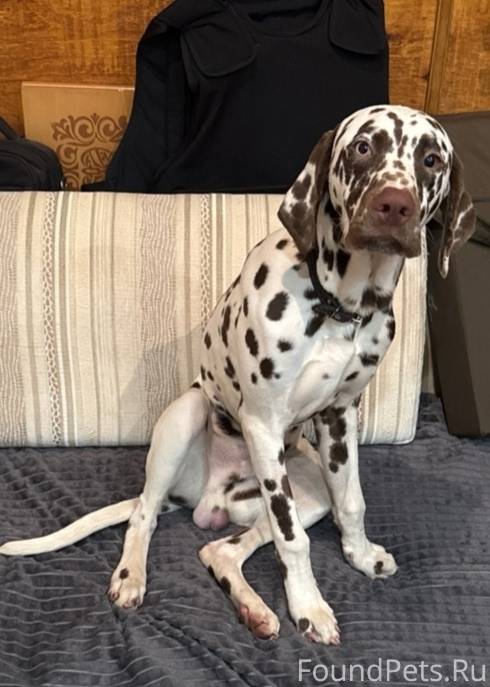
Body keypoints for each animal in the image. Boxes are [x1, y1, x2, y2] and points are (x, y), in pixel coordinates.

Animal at [0, 105, 475, 646]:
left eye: (432, 159)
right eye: (362, 148)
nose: (394, 205)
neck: (340, 307)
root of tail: (204, 497)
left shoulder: (339, 419)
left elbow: (351, 501)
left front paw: (359, 554)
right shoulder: (264, 425)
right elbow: (294, 542)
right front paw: (309, 606)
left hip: (304, 489)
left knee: (220, 549)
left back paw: (256, 609)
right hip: (187, 418)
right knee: (144, 515)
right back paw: (131, 576)